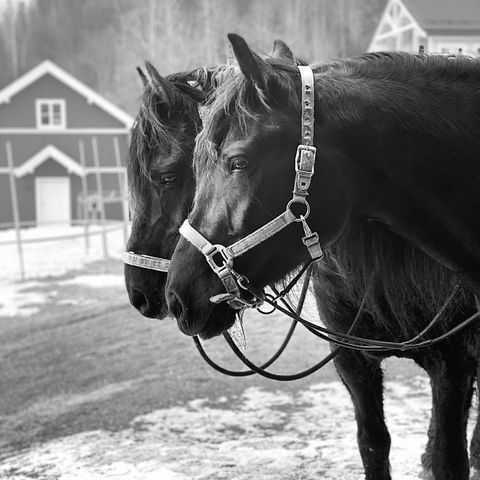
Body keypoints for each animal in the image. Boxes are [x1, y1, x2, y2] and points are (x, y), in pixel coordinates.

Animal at [164, 34, 480, 480]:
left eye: (238, 162)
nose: (176, 295)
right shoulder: (354, 363)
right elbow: (373, 444)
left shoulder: (455, 364)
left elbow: (449, 459)